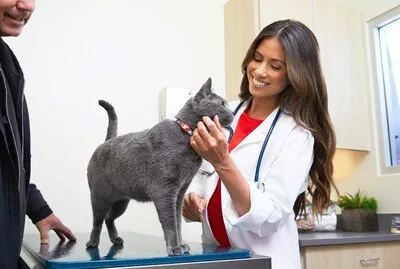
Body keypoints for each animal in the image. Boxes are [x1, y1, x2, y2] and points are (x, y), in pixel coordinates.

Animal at [84, 78, 234, 255]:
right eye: (222, 103)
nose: (233, 112)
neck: (187, 136)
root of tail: (106, 142)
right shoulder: (165, 190)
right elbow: (170, 221)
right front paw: (174, 247)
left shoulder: (180, 192)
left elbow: (177, 220)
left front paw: (181, 244)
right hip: (99, 195)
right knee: (98, 219)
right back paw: (93, 242)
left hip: (121, 201)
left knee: (109, 219)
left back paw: (116, 239)